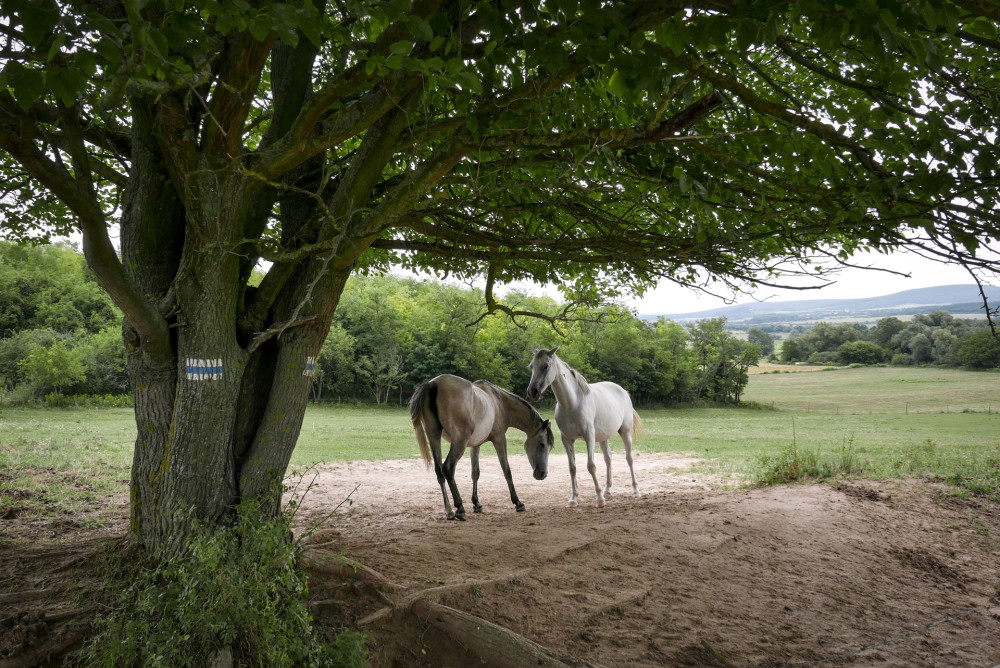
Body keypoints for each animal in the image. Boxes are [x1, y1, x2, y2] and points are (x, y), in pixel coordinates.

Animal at [408, 374, 556, 520]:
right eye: (542, 444)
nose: (543, 474)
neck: (499, 402)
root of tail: (434, 384)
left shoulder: (475, 445)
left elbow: (475, 472)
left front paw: (477, 504)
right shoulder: (499, 439)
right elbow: (506, 470)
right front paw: (518, 503)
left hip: (434, 437)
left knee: (439, 471)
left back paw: (449, 510)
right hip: (459, 442)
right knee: (448, 468)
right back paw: (459, 508)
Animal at [524, 348, 640, 508]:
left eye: (546, 366)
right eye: (531, 366)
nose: (532, 392)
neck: (571, 403)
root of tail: (624, 392)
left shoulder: (589, 436)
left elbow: (591, 466)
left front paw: (599, 499)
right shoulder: (567, 439)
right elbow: (572, 468)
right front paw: (573, 499)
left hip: (625, 432)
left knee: (629, 459)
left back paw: (635, 490)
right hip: (603, 438)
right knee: (608, 458)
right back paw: (608, 490)